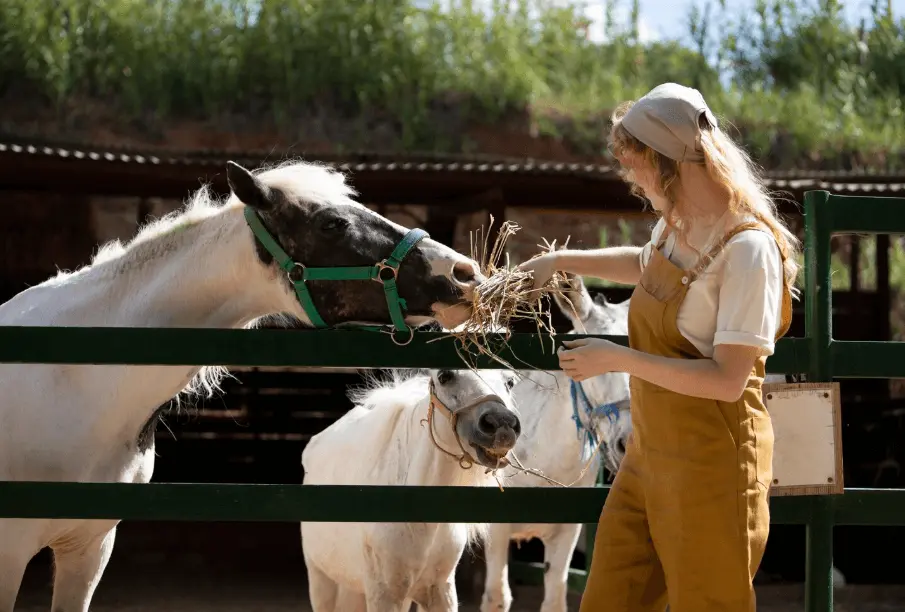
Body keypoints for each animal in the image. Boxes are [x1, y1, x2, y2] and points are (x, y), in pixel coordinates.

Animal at [300, 367, 522, 612]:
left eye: (510, 381)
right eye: (445, 376)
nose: (501, 424)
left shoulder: (440, 591)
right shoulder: (385, 595)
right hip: (322, 580)